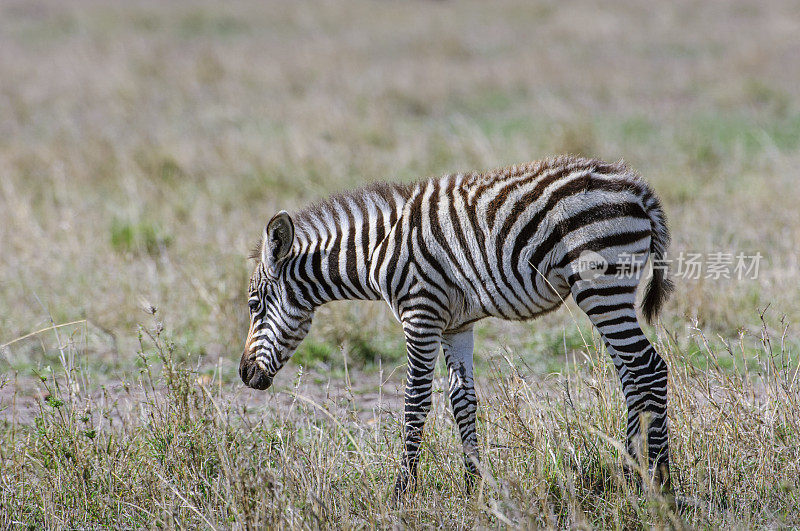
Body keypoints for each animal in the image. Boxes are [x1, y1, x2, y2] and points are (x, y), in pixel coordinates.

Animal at [241, 156, 672, 496]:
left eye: (253, 305)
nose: (245, 374)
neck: (377, 253)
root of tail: (637, 188)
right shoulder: (455, 326)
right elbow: (462, 399)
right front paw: (473, 486)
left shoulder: (421, 313)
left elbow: (415, 401)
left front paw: (402, 491)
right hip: (609, 294)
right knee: (631, 376)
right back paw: (630, 474)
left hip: (602, 288)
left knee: (651, 368)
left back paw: (660, 480)